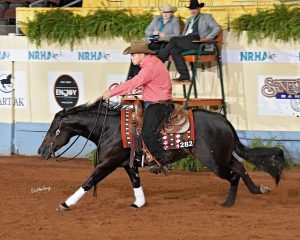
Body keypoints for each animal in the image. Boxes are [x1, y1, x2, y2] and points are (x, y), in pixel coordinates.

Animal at [38, 98, 286, 211]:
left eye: (52, 130)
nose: (41, 151)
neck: (110, 128)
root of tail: (224, 121)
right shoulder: (128, 164)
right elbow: (136, 182)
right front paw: (139, 203)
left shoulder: (107, 163)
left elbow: (89, 181)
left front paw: (65, 204)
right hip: (222, 157)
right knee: (240, 167)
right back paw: (257, 189)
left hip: (214, 162)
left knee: (234, 174)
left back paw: (228, 202)